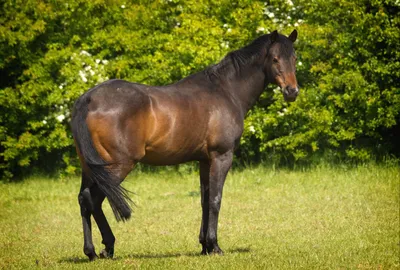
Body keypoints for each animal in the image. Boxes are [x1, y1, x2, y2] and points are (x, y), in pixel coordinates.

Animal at [70, 28, 298, 260]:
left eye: (294, 58)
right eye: (275, 58)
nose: (292, 91)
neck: (225, 91)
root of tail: (88, 100)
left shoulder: (204, 160)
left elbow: (205, 200)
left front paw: (205, 246)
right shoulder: (222, 157)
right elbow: (215, 200)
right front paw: (215, 246)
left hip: (90, 169)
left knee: (83, 200)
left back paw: (91, 251)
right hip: (117, 167)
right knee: (93, 199)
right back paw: (107, 246)